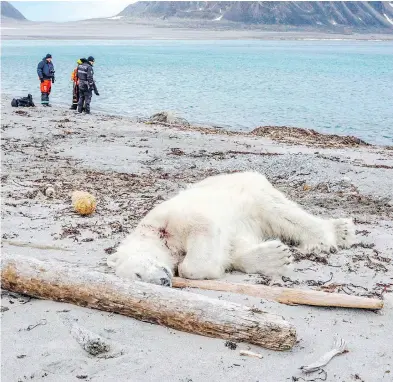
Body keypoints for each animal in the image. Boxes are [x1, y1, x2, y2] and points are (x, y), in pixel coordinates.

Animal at [108, 172, 356, 286]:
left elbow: (202, 232)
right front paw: (275, 256)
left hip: (252, 193)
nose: (163, 281)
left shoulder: (172, 219)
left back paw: (331, 236)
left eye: (138, 274)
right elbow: (233, 248)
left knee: (284, 214)